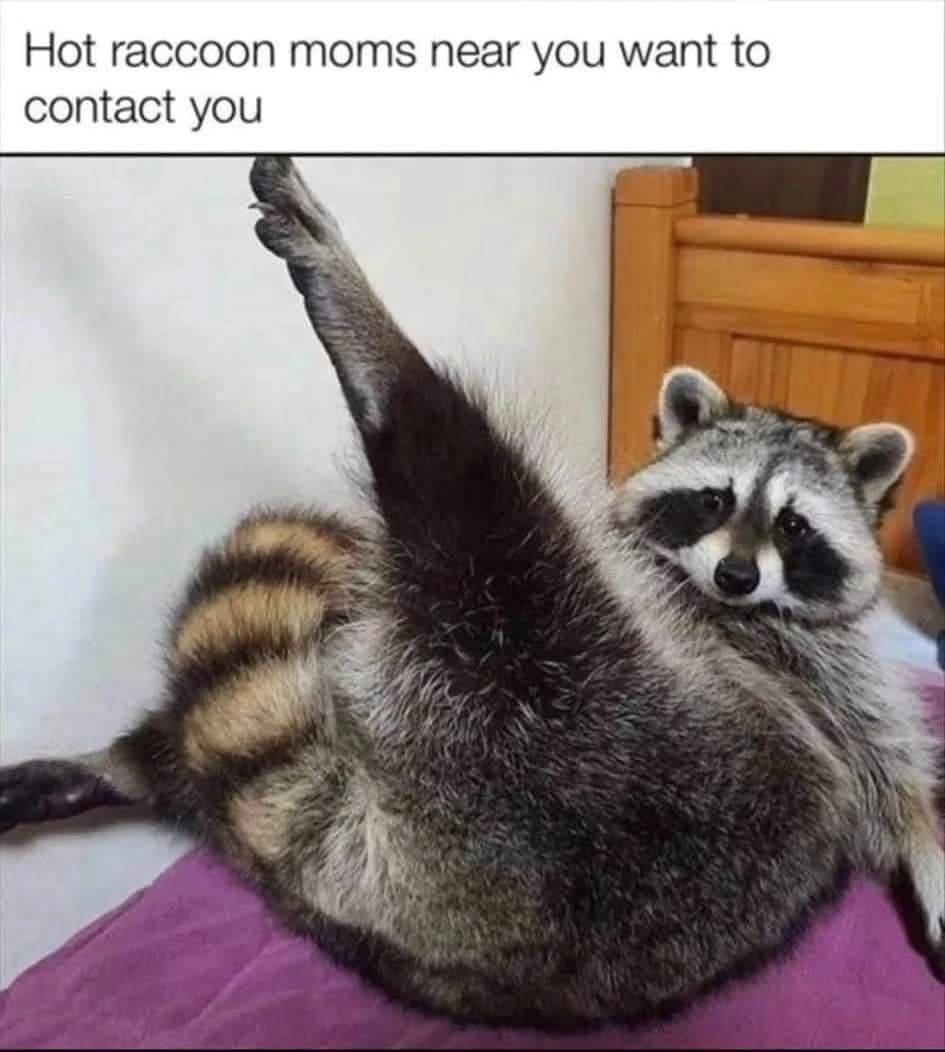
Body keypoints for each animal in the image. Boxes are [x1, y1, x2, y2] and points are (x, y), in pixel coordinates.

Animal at [1, 156, 942, 1027]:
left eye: (793, 527)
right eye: (714, 500)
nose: (735, 576)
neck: (724, 597)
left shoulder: (807, 663)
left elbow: (889, 770)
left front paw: (923, 844)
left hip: (568, 692)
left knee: (462, 480)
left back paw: (370, 338)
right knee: (193, 761)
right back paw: (121, 765)